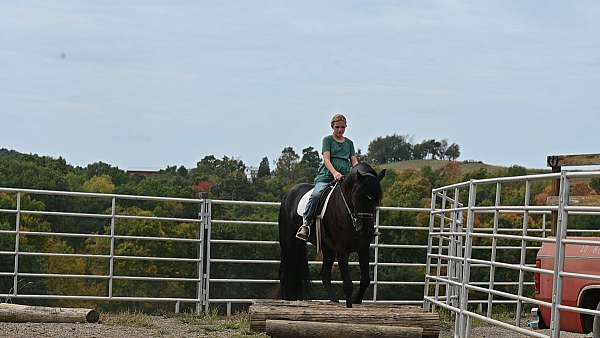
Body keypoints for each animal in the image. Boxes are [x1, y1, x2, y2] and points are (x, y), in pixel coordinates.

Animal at [278, 162, 386, 308]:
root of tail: (289, 194)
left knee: (324, 274)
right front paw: (350, 306)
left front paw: (356, 301)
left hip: (327, 249)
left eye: (376, 199)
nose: (364, 228)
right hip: (288, 243)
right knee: (285, 273)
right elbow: (347, 284)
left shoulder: (363, 248)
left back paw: (334, 300)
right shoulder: (342, 250)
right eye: (358, 196)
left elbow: (365, 280)